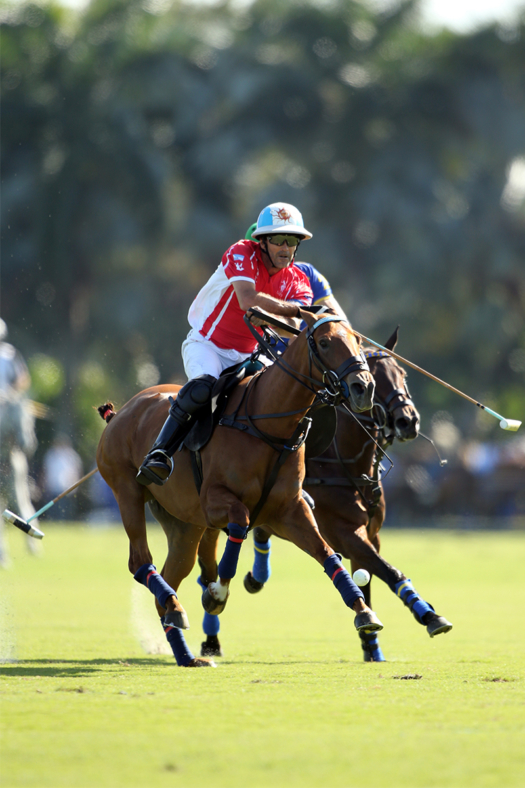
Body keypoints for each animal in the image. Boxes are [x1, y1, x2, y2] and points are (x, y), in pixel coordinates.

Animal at [96, 308, 380, 664]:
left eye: (356, 339)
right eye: (326, 342)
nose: (363, 388)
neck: (268, 422)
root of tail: (121, 411)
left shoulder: (290, 511)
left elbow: (327, 553)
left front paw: (364, 612)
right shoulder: (215, 501)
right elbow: (239, 523)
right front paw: (217, 594)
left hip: (184, 524)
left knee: (173, 573)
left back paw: (183, 643)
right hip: (127, 490)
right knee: (139, 560)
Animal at [196, 326, 450, 660]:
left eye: (402, 373)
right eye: (376, 377)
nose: (408, 420)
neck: (347, 464)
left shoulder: (370, 534)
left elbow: (369, 578)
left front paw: (373, 648)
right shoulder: (344, 532)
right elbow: (388, 571)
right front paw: (429, 616)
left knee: (254, 537)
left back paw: (253, 579)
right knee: (207, 570)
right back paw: (211, 638)